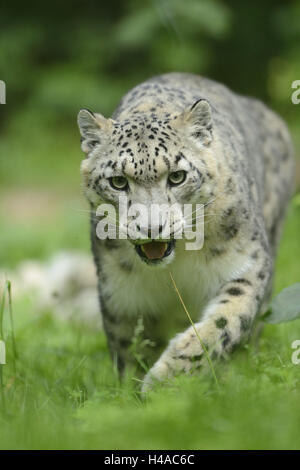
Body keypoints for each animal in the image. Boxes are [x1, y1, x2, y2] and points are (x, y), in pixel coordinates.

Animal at [76, 71, 294, 392]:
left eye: (177, 176)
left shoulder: (246, 263)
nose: (151, 228)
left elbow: (224, 322)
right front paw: (133, 391)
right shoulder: (122, 292)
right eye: (117, 181)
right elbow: (130, 346)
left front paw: (166, 378)